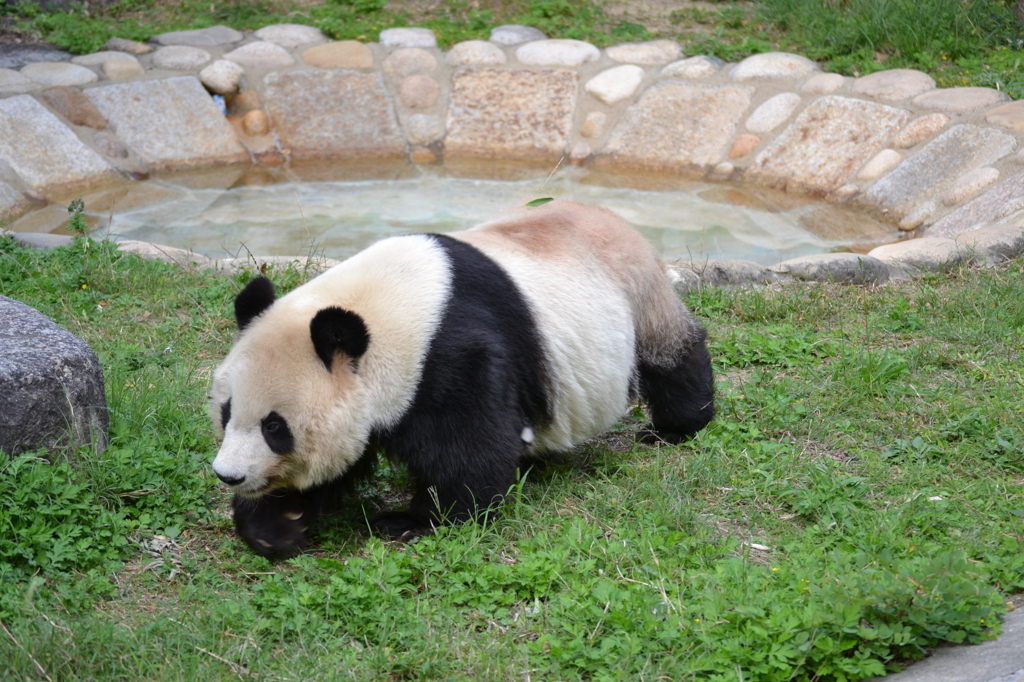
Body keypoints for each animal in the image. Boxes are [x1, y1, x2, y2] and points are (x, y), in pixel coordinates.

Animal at [209, 197, 712, 552]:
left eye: (275, 427)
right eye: (227, 412)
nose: (228, 475)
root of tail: (616, 219)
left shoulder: (446, 355)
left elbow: (468, 447)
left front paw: (413, 522)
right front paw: (276, 524)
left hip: (637, 292)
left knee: (670, 357)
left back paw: (675, 428)